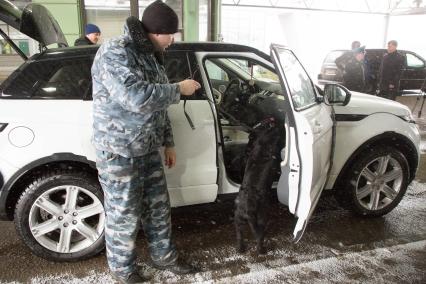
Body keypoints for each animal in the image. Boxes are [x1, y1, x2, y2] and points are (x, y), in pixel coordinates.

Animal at [235, 116, 284, 254]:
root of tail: (247, 210)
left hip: (238, 220)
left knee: (239, 235)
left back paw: (240, 249)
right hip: (262, 218)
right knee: (259, 236)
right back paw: (261, 250)